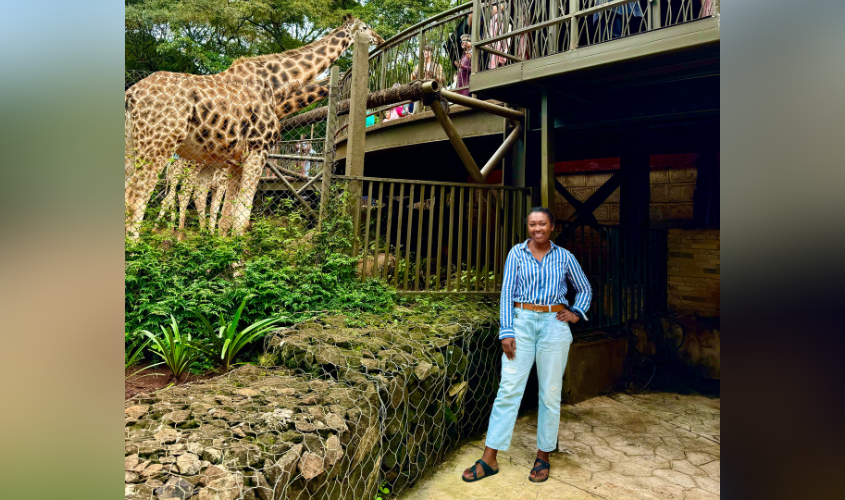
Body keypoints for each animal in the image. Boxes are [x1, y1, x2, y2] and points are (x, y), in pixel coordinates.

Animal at [125, 17, 382, 240]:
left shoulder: (236, 163)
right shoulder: (258, 151)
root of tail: (131, 95)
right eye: (366, 27)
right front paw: (236, 265)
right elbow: (242, 219)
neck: (276, 85)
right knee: (140, 199)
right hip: (160, 145)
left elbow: (227, 219)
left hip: (135, 146)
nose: (379, 39)